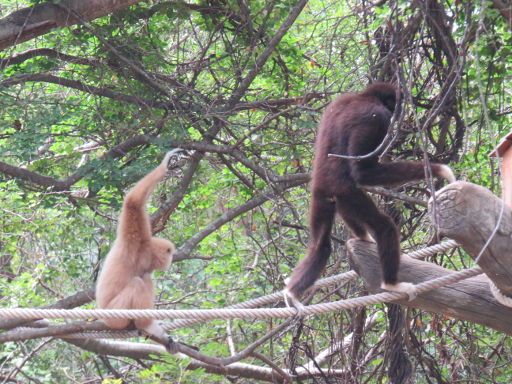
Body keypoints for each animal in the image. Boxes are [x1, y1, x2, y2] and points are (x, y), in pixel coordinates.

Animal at [284, 82, 456, 304]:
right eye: (393, 103)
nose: (397, 110)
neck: (362, 97)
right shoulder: (376, 117)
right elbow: (362, 172)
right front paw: (439, 169)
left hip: (324, 196)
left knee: (320, 246)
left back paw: (291, 292)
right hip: (349, 194)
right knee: (384, 226)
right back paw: (391, 284)